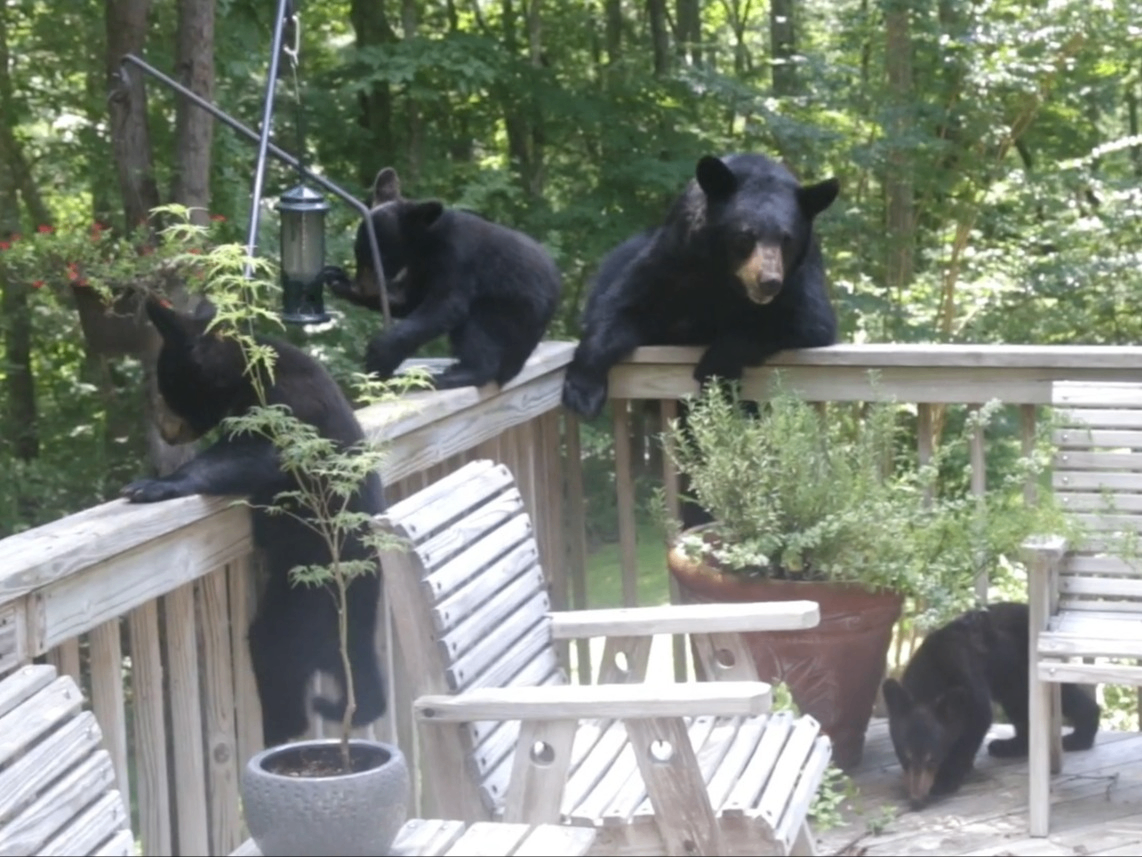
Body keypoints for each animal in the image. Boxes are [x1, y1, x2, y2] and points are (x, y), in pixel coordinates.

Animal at [120, 298, 387, 747]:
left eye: (166, 385)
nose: (167, 433)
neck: (246, 372)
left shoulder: (290, 406)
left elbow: (255, 453)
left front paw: (152, 485)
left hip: (313, 592)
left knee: (277, 649)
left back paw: (283, 727)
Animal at [325, 167, 562, 391]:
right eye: (358, 254)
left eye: (380, 257)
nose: (364, 287)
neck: (428, 243)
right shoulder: (420, 268)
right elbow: (408, 301)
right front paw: (337, 280)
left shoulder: (458, 257)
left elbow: (445, 305)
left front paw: (379, 356)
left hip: (511, 314)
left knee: (478, 329)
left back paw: (456, 374)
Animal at [561, 152, 840, 421]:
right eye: (745, 236)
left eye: (787, 240)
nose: (769, 282)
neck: (726, 278)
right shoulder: (677, 255)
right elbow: (624, 307)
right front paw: (582, 392)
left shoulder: (800, 276)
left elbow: (806, 322)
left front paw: (713, 369)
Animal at [882, 601, 1100, 808]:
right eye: (905, 757)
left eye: (932, 758)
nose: (916, 800)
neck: (930, 675)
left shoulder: (966, 678)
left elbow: (977, 720)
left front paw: (946, 779)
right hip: (1009, 682)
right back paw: (1010, 746)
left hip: (1027, 670)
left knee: (1064, 695)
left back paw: (1081, 735)